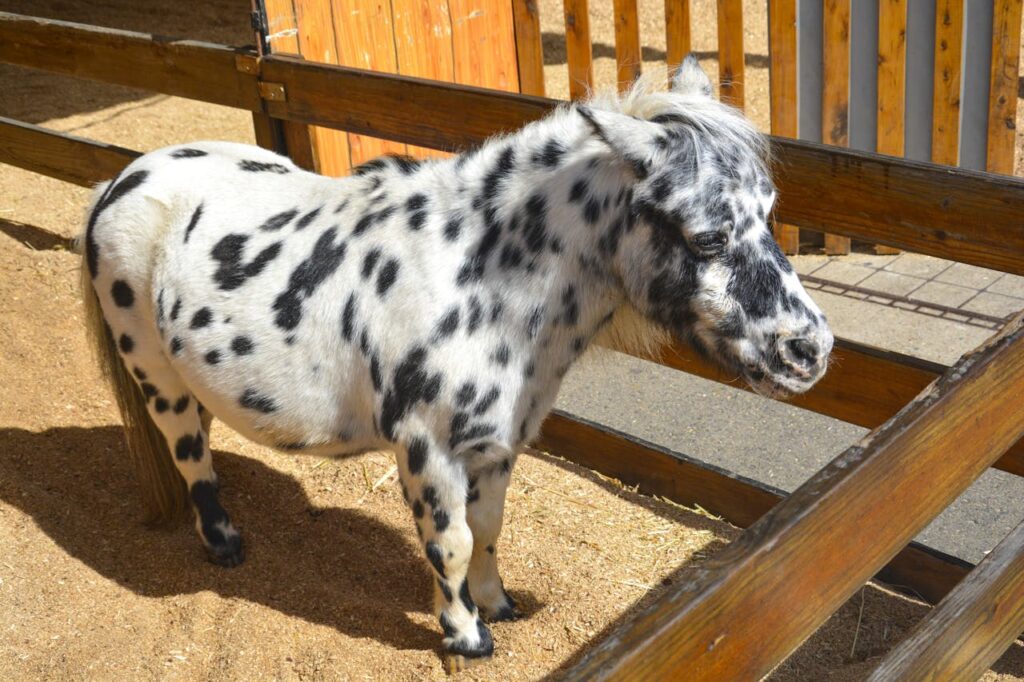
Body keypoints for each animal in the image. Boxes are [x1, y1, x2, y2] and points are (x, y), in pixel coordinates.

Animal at [79, 56, 833, 668]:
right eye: (706, 237)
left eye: (768, 211)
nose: (810, 350)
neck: (477, 283)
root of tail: (122, 178)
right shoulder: (427, 449)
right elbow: (451, 543)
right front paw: (467, 637)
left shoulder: (496, 446)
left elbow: (488, 531)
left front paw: (498, 605)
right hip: (155, 375)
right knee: (187, 451)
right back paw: (224, 541)